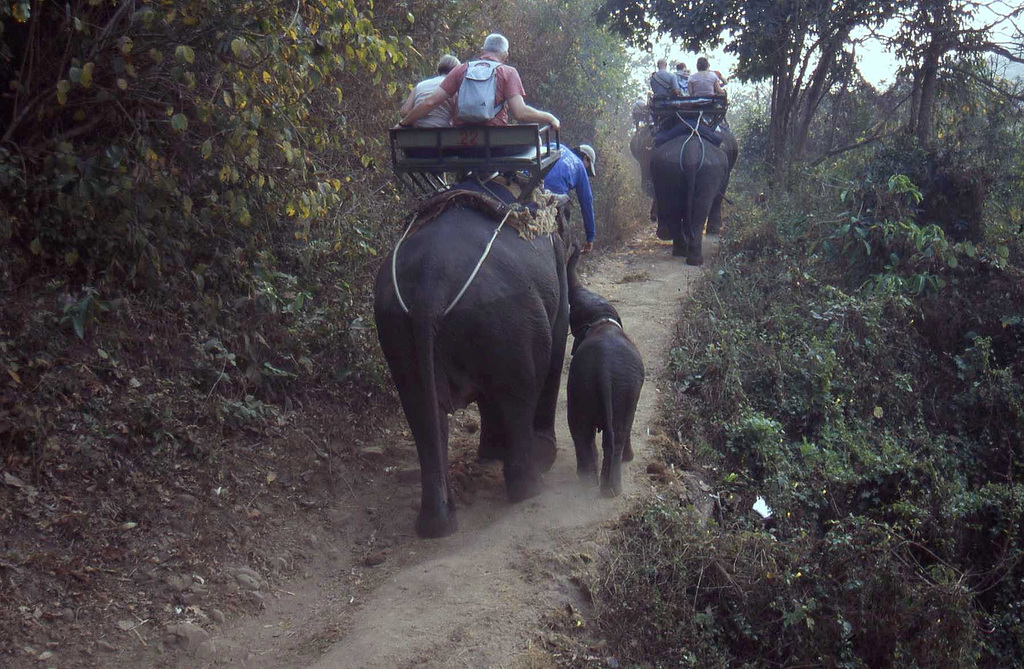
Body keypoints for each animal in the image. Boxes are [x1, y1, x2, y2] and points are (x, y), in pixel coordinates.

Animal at [374, 195, 573, 536]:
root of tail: (429, 288)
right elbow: (558, 339)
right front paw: (537, 453)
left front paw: (490, 454)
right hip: (511, 318)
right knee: (520, 392)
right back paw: (531, 486)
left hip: (396, 331)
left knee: (421, 411)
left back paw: (437, 524)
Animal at [565, 247, 643, 493]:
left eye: (572, 315)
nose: (577, 246)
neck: (602, 319)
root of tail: (604, 373)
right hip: (620, 390)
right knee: (615, 432)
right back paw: (608, 487)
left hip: (586, 387)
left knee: (582, 429)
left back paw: (591, 481)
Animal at [647, 124, 737, 264]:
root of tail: (691, 152)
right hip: (708, 170)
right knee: (700, 209)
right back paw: (692, 256)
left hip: (670, 169)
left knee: (677, 207)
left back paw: (685, 253)